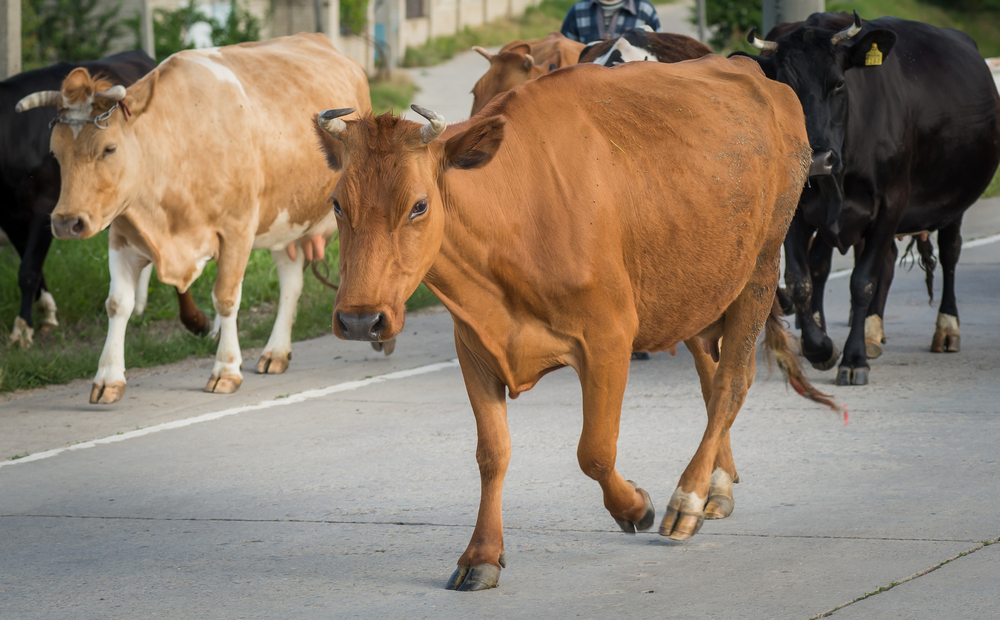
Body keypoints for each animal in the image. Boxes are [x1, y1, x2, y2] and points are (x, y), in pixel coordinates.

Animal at [1, 50, 209, 346]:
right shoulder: (13, 218)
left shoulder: (43, 208)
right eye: (54, 152)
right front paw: (45, 314)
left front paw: (22, 329)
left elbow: (28, 271)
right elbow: (31, 269)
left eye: (109, 149)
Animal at [316, 54, 832, 592]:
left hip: (761, 267)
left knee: (733, 381)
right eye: (337, 203)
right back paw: (717, 484)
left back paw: (687, 499)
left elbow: (595, 451)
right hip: (697, 290)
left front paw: (636, 507)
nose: (359, 319)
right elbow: (492, 453)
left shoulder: (609, 338)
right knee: (711, 379)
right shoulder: (474, 346)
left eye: (419, 205)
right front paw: (481, 554)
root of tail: (749, 69)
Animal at [736, 12, 1000, 386]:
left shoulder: (892, 204)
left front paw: (853, 358)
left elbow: (862, 282)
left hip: (953, 204)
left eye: (838, 85)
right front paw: (821, 348)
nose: (817, 160)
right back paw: (872, 333)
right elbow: (801, 280)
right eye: (785, 89)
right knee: (870, 262)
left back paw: (947, 329)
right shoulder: (798, 210)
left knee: (950, 254)